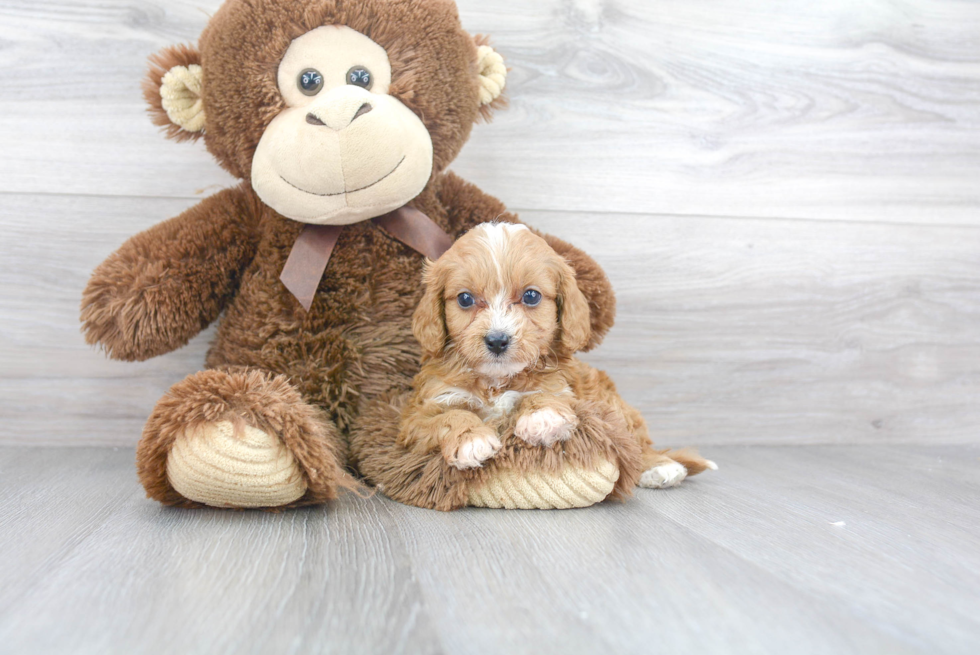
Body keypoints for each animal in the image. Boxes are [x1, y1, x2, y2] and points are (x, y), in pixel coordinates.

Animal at [396, 223, 712, 490]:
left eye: (531, 296)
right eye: (465, 299)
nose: (497, 340)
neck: (497, 380)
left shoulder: (563, 387)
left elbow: (544, 394)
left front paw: (541, 416)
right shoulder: (420, 414)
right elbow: (449, 416)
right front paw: (471, 438)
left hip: (614, 408)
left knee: (635, 443)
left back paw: (660, 467)